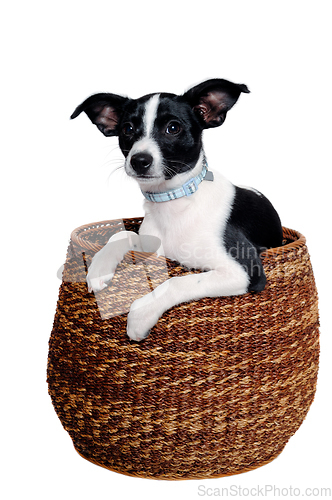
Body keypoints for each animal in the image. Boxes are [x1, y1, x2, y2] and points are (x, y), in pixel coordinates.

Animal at [70, 79, 282, 344]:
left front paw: (141, 313)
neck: (173, 202)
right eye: (127, 129)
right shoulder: (152, 247)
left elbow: (178, 282)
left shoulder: (244, 271)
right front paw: (100, 266)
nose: (139, 160)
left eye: (173, 128)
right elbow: (122, 234)